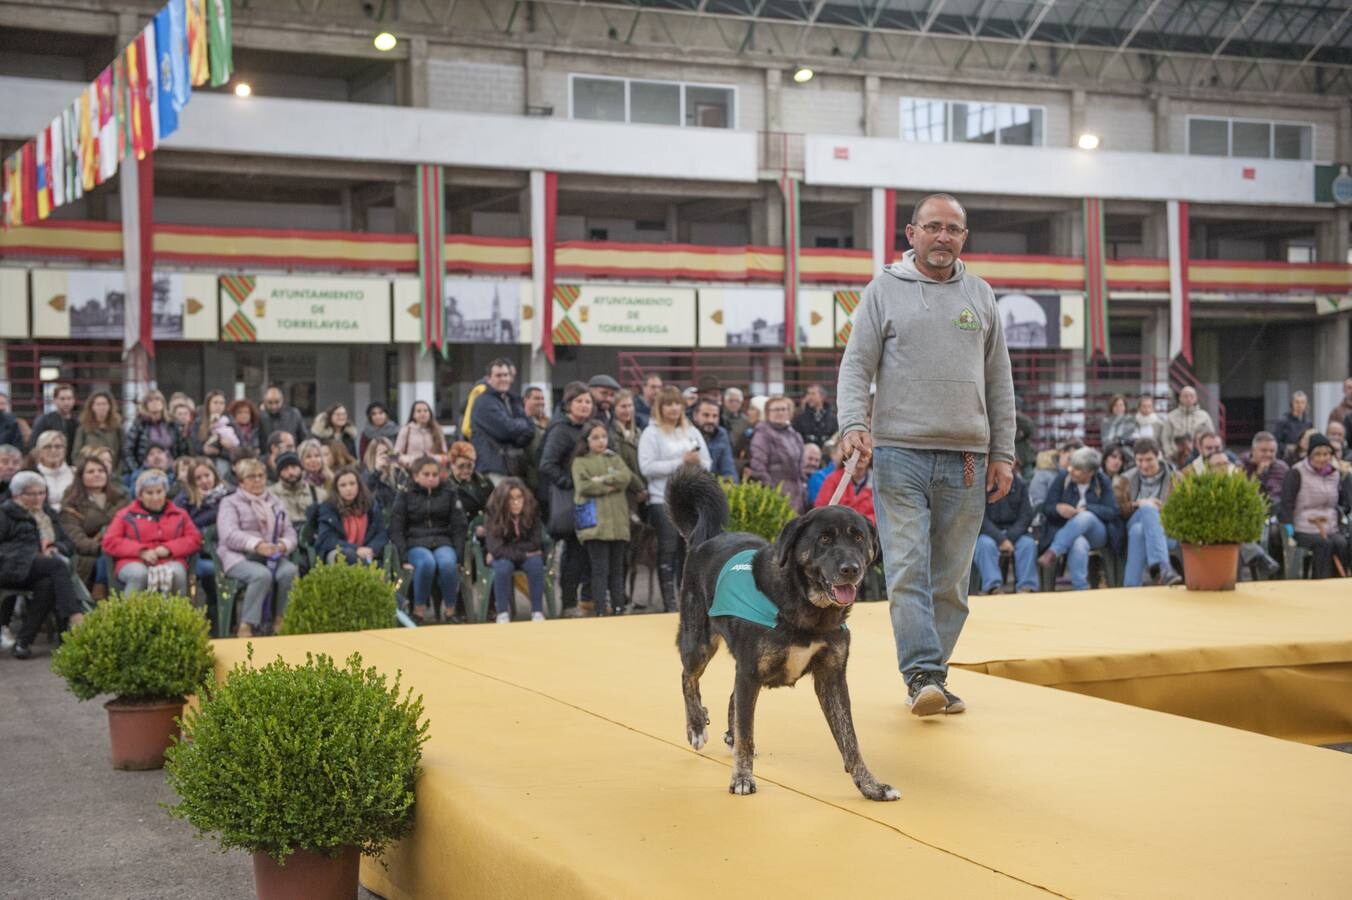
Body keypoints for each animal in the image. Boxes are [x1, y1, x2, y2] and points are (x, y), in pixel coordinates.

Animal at [665, 462, 897, 800]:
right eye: (824, 539)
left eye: (858, 537)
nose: (851, 569)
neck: (808, 609)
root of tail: (704, 539)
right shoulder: (750, 671)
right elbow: (747, 731)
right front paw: (742, 778)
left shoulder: (832, 678)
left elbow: (850, 740)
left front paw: (870, 785)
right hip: (699, 642)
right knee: (688, 678)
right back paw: (696, 725)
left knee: (731, 698)